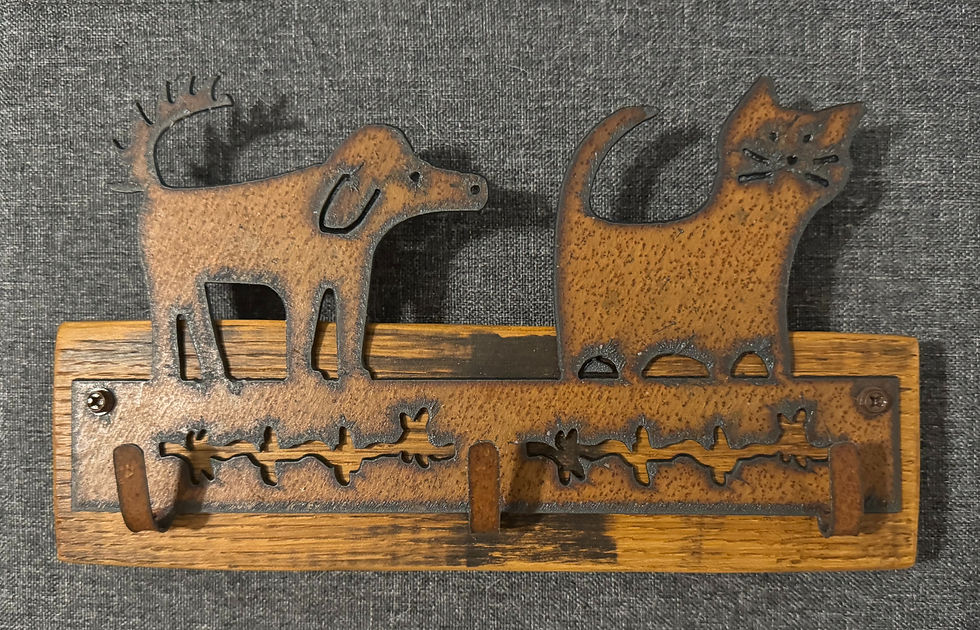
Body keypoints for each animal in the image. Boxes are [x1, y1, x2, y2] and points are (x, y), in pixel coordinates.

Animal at [118, 77, 488, 387]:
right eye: (413, 175)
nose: (476, 187)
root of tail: (156, 191)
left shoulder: (352, 278)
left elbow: (351, 326)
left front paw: (357, 377)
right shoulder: (300, 282)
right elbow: (303, 326)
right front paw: (308, 378)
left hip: (188, 280)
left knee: (188, 313)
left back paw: (213, 381)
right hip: (168, 277)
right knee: (171, 315)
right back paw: (182, 382)